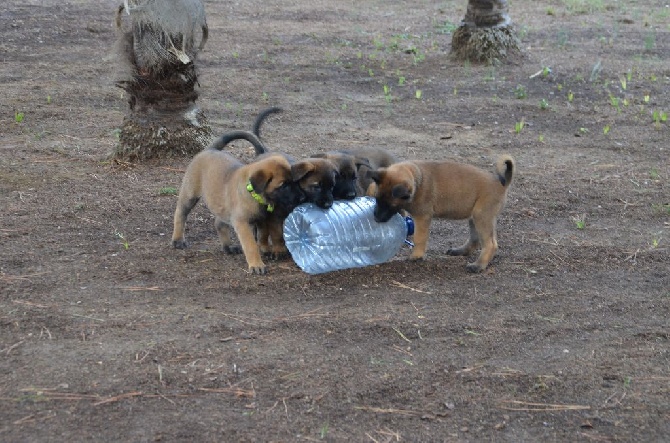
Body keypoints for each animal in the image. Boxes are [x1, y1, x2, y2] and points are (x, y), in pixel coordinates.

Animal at [370, 156, 516, 274]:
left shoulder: (422, 217)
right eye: (377, 199)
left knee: (490, 244)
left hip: (482, 217)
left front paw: (417, 256)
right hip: (474, 217)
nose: (376, 218)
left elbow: (419, 238)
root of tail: (502, 184)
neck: (418, 179)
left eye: (391, 205)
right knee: (475, 240)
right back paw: (460, 251)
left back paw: (478, 265)